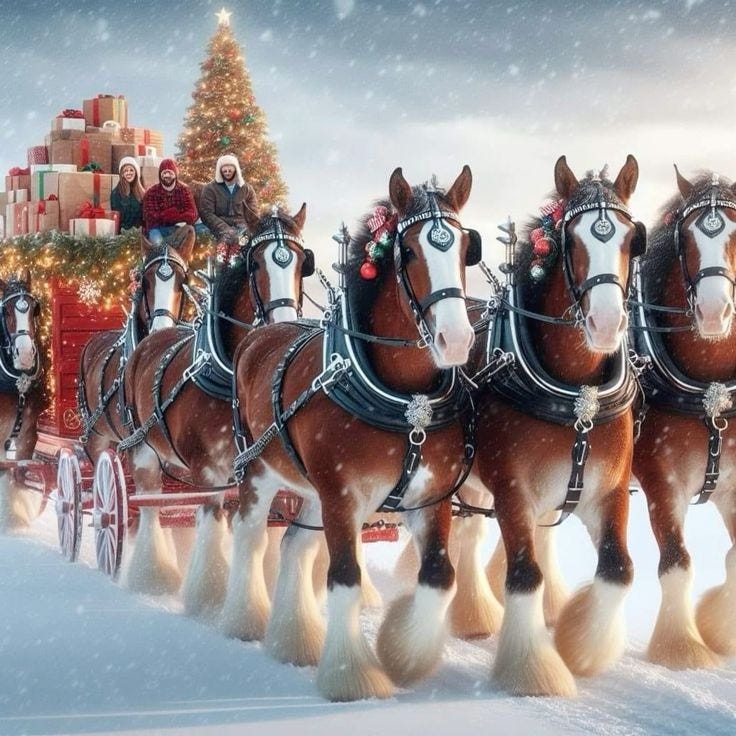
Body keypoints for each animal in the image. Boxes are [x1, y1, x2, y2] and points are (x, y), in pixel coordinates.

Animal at [121, 203, 314, 615]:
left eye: (301, 262)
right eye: (255, 263)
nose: (283, 325)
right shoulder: (210, 469)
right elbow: (214, 522)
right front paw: (210, 596)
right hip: (142, 451)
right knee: (149, 506)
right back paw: (151, 572)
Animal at [223, 166, 480, 702]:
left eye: (468, 246)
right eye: (408, 252)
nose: (456, 339)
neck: (404, 403)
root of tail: (259, 334)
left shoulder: (429, 497)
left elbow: (439, 576)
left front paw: (405, 654)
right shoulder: (342, 494)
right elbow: (344, 577)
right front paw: (352, 676)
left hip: (311, 488)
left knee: (294, 545)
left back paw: (292, 638)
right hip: (257, 469)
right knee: (251, 535)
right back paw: (243, 620)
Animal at [463, 155, 644, 696]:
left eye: (632, 239)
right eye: (572, 241)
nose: (606, 323)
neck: (575, 397)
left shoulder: (608, 488)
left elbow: (620, 570)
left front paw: (581, 647)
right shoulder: (511, 488)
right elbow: (525, 573)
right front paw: (533, 670)